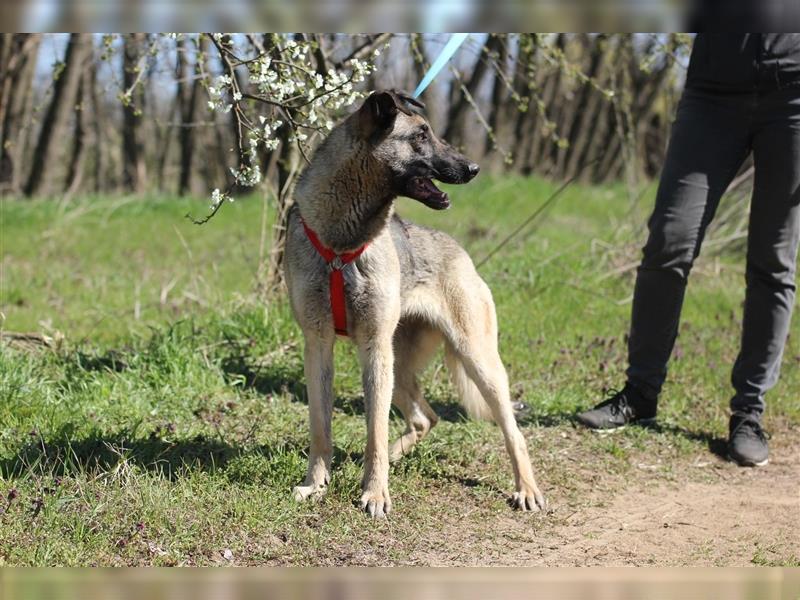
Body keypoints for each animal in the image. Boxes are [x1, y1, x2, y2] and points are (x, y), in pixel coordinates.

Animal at [282, 90, 544, 520]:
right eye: (420, 135)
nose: (473, 168)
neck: (342, 242)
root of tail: (461, 253)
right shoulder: (318, 346)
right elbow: (321, 428)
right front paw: (316, 485)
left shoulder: (373, 348)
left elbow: (375, 432)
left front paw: (375, 493)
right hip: (398, 367)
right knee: (426, 417)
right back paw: (395, 456)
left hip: (474, 361)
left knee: (512, 431)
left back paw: (527, 489)